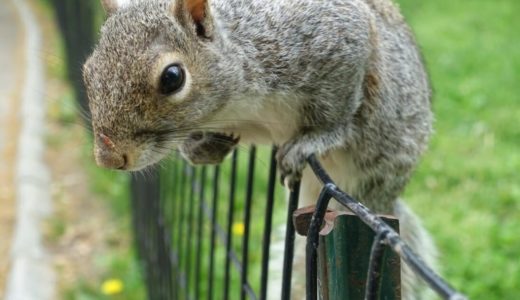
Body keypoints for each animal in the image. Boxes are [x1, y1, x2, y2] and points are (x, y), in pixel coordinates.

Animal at [84, 0, 438, 296]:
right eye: (88, 71)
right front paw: (201, 148)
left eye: (173, 77)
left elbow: (336, 113)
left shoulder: (333, 40)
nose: (109, 158)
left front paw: (312, 140)